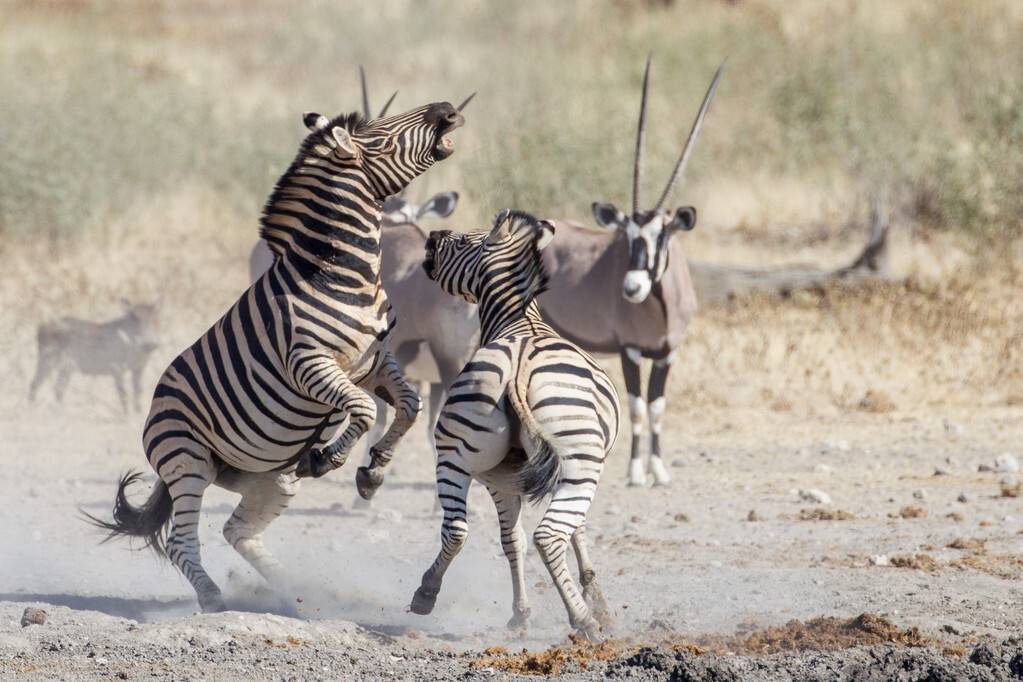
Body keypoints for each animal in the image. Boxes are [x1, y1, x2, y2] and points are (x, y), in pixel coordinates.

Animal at [85, 97, 466, 613]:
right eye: (382, 135)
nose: (446, 109)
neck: (339, 272)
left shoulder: (372, 363)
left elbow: (409, 405)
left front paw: (372, 474)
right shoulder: (310, 365)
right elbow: (365, 410)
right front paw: (330, 458)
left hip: (269, 476)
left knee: (238, 531)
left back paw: (296, 594)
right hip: (188, 459)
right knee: (182, 541)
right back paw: (215, 598)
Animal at [409, 209, 617, 642]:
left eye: (461, 241)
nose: (431, 236)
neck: (520, 321)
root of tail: (518, 372)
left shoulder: (503, 480)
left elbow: (512, 542)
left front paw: (523, 615)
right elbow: (574, 531)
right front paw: (596, 603)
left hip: (456, 456)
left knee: (458, 528)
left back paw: (426, 593)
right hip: (576, 464)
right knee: (548, 536)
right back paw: (583, 620)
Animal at [540, 57, 724, 484]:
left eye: (662, 235)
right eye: (627, 236)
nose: (632, 287)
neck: (660, 305)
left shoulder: (668, 352)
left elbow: (657, 407)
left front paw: (659, 468)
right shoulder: (630, 349)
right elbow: (638, 406)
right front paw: (637, 471)